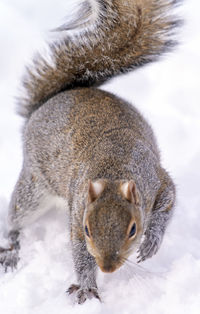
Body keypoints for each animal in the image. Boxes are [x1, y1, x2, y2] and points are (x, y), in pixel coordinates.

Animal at [0, 0, 180, 304]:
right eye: (87, 229)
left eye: (133, 229)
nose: (107, 268)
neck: (114, 169)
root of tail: (43, 106)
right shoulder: (77, 208)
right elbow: (78, 251)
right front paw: (86, 285)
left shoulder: (157, 180)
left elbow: (167, 204)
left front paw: (152, 242)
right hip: (34, 188)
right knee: (15, 219)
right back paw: (10, 249)